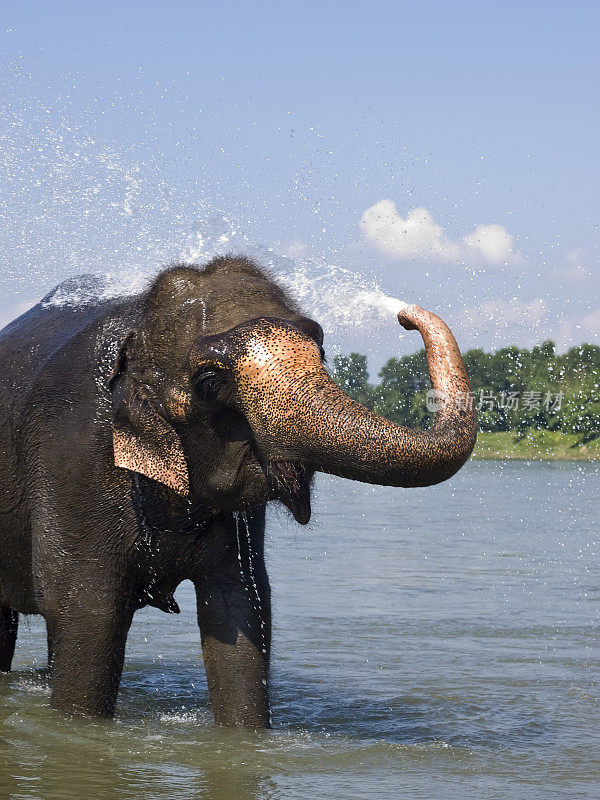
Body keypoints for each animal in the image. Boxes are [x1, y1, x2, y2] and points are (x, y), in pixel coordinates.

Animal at [0, 256, 478, 724]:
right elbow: (87, 612)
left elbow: (241, 607)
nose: (403, 316)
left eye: (322, 351)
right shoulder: (72, 459)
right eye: (210, 382)